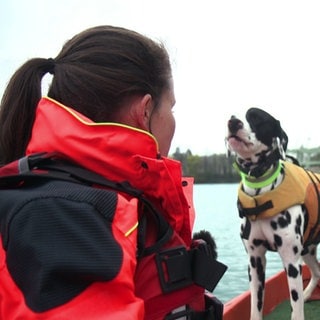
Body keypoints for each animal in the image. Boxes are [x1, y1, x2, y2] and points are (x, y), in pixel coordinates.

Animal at [225, 108, 320, 320]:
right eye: (232, 116)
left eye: (257, 117)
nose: (233, 123)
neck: (261, 194)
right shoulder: (255, 261)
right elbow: (255, 306)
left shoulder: (291, 262)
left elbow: (296, 308)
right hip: (308, 250)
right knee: (318, 272)